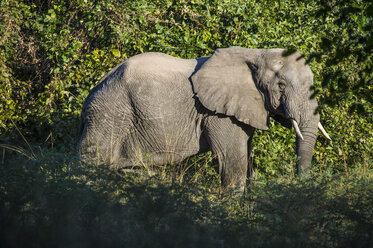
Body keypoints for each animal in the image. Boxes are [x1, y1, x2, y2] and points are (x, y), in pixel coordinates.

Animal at [77, 46, 328, 192]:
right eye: (281, 85)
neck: (255, 53)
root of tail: (91, 93)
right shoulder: (218, 113)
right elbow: (231, 162)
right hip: (109, 114)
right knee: (90, 164)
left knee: (133, 171)